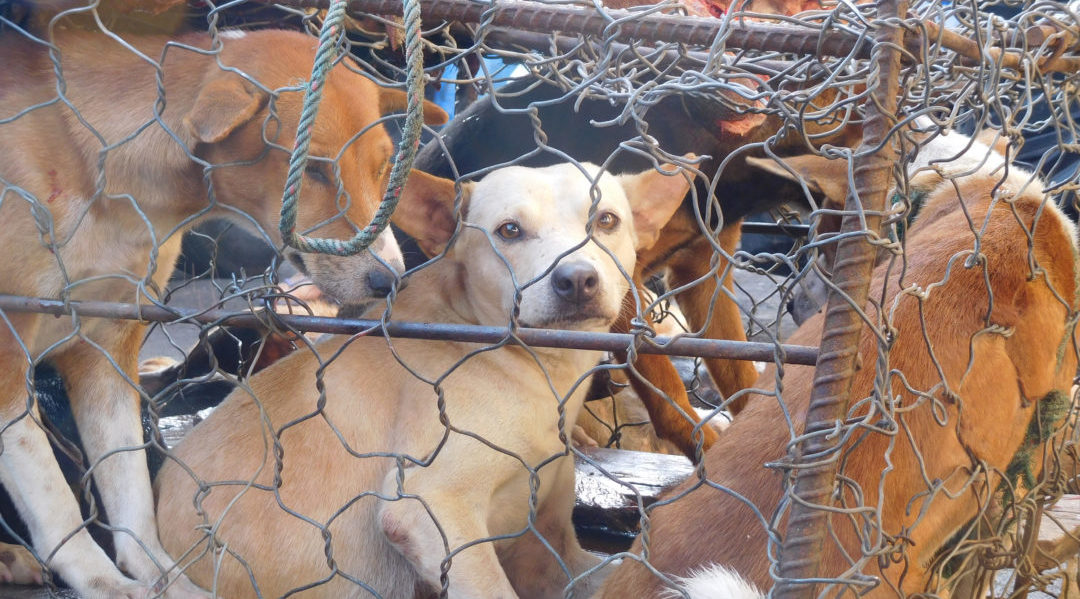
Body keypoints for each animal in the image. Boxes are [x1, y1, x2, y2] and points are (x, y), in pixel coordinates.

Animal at [0, 25, 444, 595]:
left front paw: (162, 575)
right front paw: (104, 581)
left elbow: (131, 492)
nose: (389, 279)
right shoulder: (8, 352)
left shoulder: (107, 351)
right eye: (314, 169)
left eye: (384, 165)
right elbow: (55, 500)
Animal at [151, 160, 686, 599]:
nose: (576, 280)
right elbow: (491, 588)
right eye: (509, 231)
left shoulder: (551, 555)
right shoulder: (428, 508)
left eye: (608, 221)